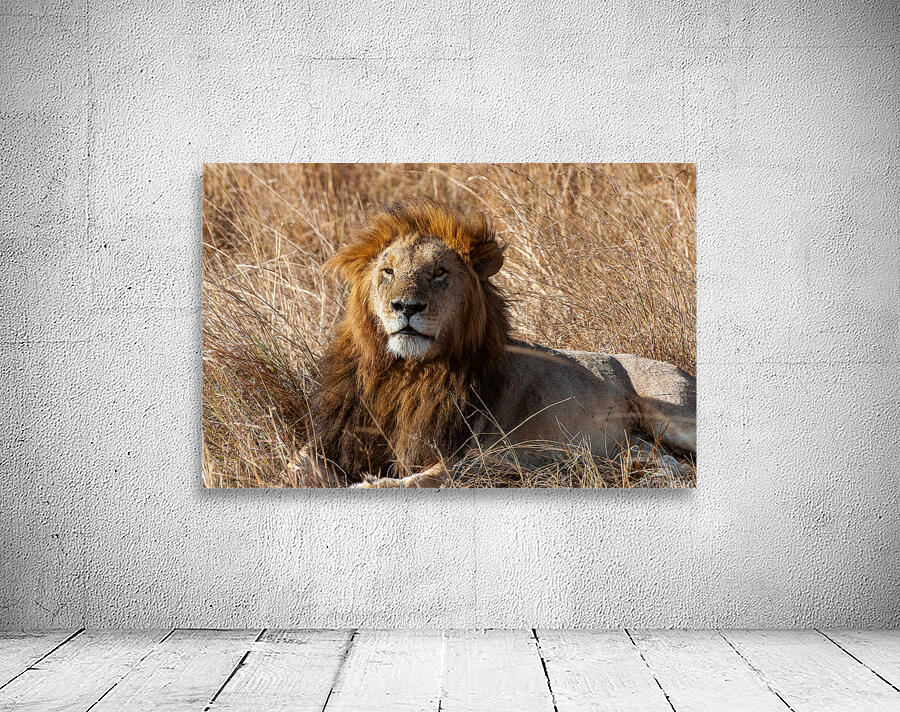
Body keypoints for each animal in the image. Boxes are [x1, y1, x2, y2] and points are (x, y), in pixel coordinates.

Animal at [301, 198, 696, 488]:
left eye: (439, 272)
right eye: (388, 271)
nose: (406, 307)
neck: (406, 373)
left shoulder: (488, 453)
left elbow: (430, 476)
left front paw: (373, 484)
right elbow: (301, 461)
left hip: (671, 414)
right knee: (669, 461)